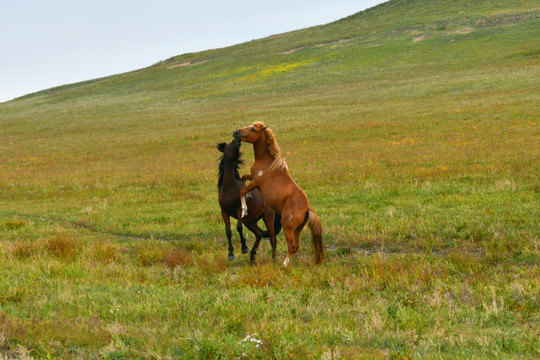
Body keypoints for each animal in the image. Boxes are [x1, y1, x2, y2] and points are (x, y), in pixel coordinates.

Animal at [232, 122, 324, 266]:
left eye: (252, 129)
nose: (235, 133)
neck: (267, 163)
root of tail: (307, 210)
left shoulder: (257, 182)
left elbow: (242, 191)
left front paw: (244, 210)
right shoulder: (253, 178)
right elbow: (243, 178)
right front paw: (249, 197)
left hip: (287, 227)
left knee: (291, 246)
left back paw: (283, 265)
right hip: (297, 229)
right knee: (296, 245)